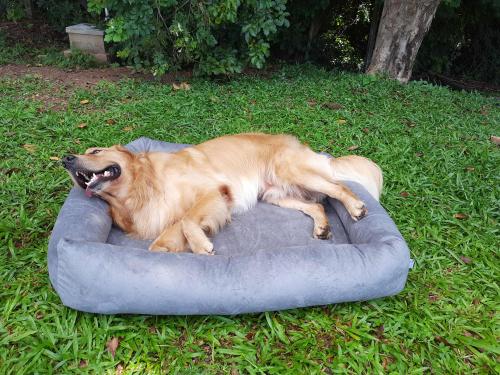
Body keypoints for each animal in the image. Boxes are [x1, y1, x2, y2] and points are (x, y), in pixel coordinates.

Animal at [63, 133, 382, 256]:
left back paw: (356, 208)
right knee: (318, 207)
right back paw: (323, 228)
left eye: (95, 151)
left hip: (292, 172)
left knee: (338, 187)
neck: (142, 185)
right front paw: (171, 251)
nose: (66, 159)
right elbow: (159, 243)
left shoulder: (214, 192)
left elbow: (188, 221)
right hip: (275, 195)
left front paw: (201, 246)